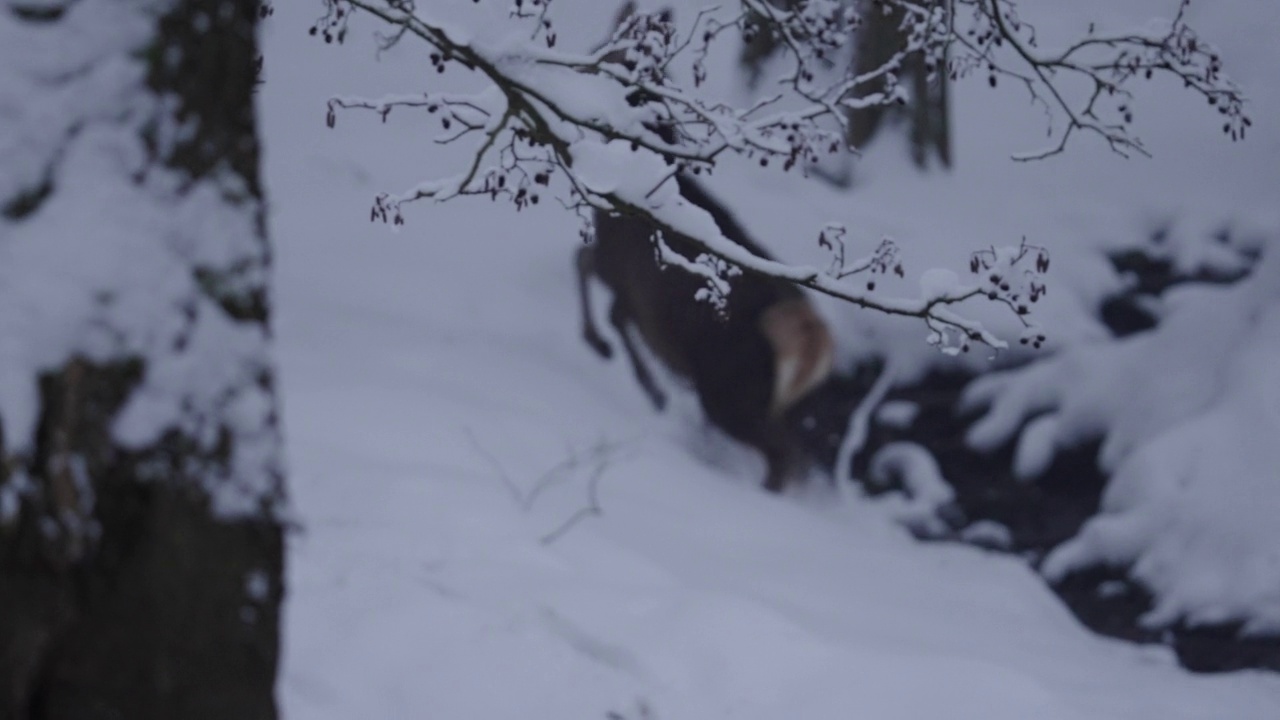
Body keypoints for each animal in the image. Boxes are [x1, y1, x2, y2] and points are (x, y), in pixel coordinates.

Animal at [576, 170, 834, 489]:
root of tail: (812, 341)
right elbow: (613, 310)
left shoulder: (621, 272)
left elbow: (589, 271)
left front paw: (602, 346)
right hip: (786, 407)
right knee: (799, 456)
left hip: (727, 390)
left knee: (782, 454)